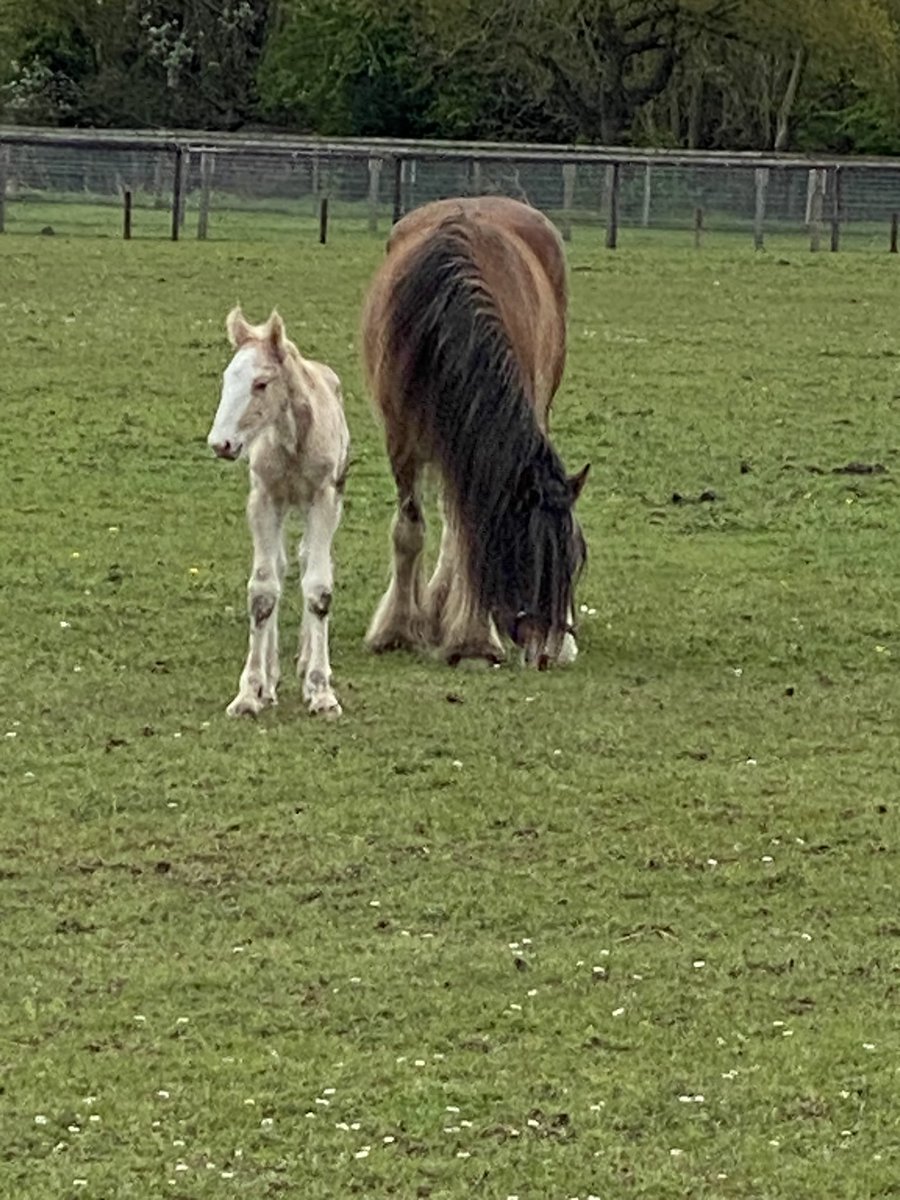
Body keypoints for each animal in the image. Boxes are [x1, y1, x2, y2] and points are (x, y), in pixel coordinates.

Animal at [207, 307, 350, 718]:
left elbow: (318, 587)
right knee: (283, 566)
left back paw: (306, 661)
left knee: (306, 562)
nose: (220, 444)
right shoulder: (264, 499)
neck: (293, 441)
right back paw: (270, 679)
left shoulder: (324, 499)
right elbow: (263, 590)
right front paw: (250, 692)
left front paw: (320, 691)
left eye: (261, 383)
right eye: (227, 378)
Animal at [360, 196, 589, 670]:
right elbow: (409, 530)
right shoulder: (402, 440)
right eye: (522, 555)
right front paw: (397, 631)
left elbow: (466, 534)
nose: (544, 651)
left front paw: (471, 640)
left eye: (573, 561)